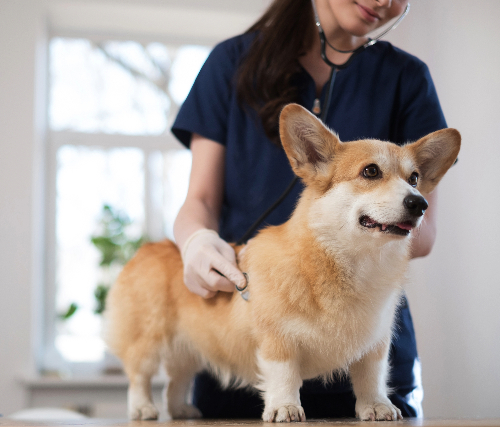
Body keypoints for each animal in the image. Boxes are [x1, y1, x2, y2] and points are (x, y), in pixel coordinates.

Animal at [102, 103, 460, 422]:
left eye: (414, 178)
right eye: (370, 171)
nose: (420, 204)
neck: (351, 262)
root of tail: (147, 248)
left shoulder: (375, 343)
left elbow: (371, 377)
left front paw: (377, 407)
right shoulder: (277, 339)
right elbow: (284, 375)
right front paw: (285, 408)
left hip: (189, 349)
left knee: (177, 380)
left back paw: (180, 410)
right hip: (148, 342)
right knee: (140, 376)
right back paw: (143, 409)